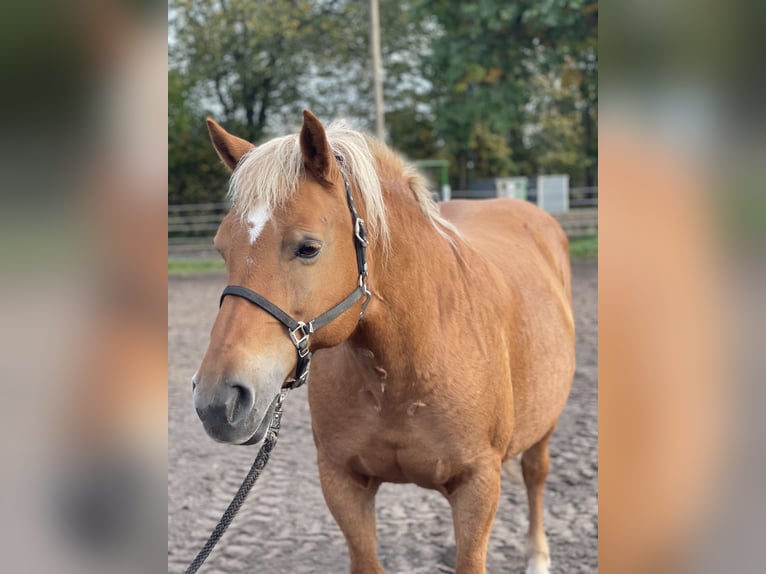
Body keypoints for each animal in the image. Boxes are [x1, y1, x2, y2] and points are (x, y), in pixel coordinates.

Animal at [192, 110, 576, 572]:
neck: (403, 370)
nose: (217, 401)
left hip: (545, 425)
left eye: (308, 248)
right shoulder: (342, 482)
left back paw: (537, 555)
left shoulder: (478, 485)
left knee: (536, 475)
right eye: (222, 249)